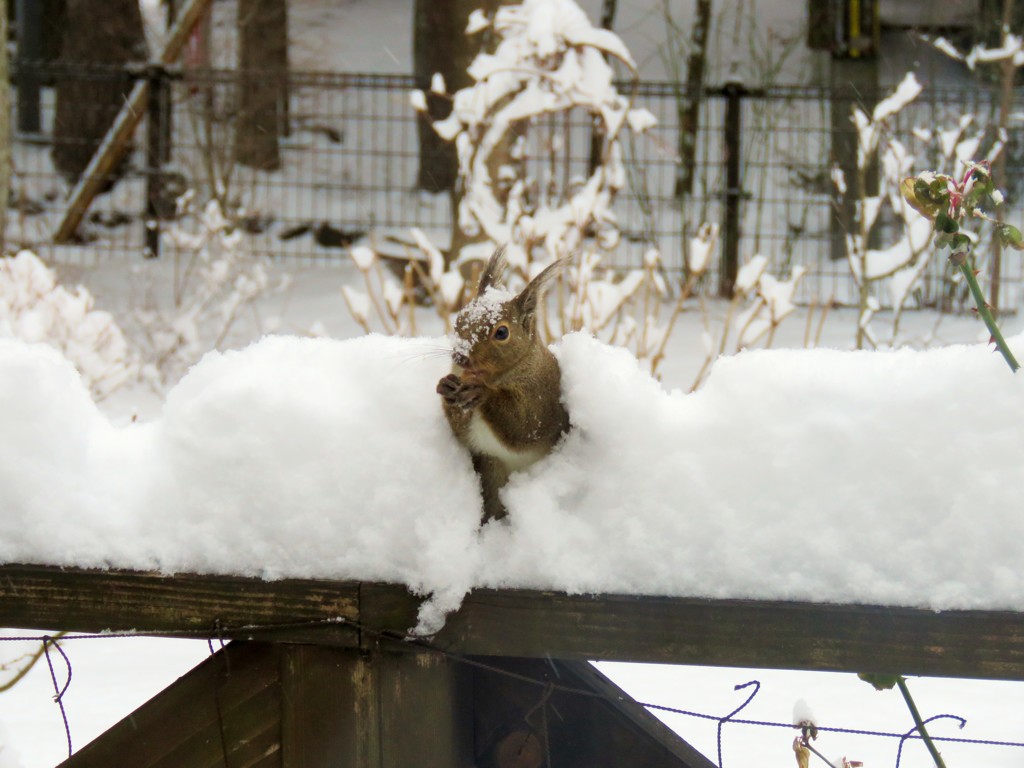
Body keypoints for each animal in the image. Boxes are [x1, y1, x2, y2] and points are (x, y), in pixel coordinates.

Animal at [436, 246, 573, 524]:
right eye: (459, 320)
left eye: (501, 333)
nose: (459, 357)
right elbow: (462, 432)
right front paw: (446, 388)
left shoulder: (541, 400)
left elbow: (522, 426)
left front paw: (483, 394)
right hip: (492, 473)